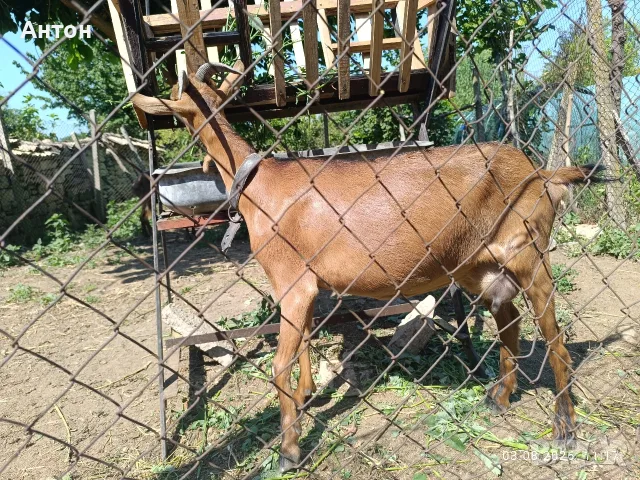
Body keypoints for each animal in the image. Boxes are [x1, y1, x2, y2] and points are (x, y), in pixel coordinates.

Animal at [131, 61, 602, 472]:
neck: (260, 186)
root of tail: (544, 174)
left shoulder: (292, 282)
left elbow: (280, 363)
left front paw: (288, 450)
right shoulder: (308, 285)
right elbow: (306, 340)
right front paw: (307, 396)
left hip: (530, 253)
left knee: (555, 338)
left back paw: (565, 429)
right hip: (480, 267)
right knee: (511, 321)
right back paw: (499, 398)